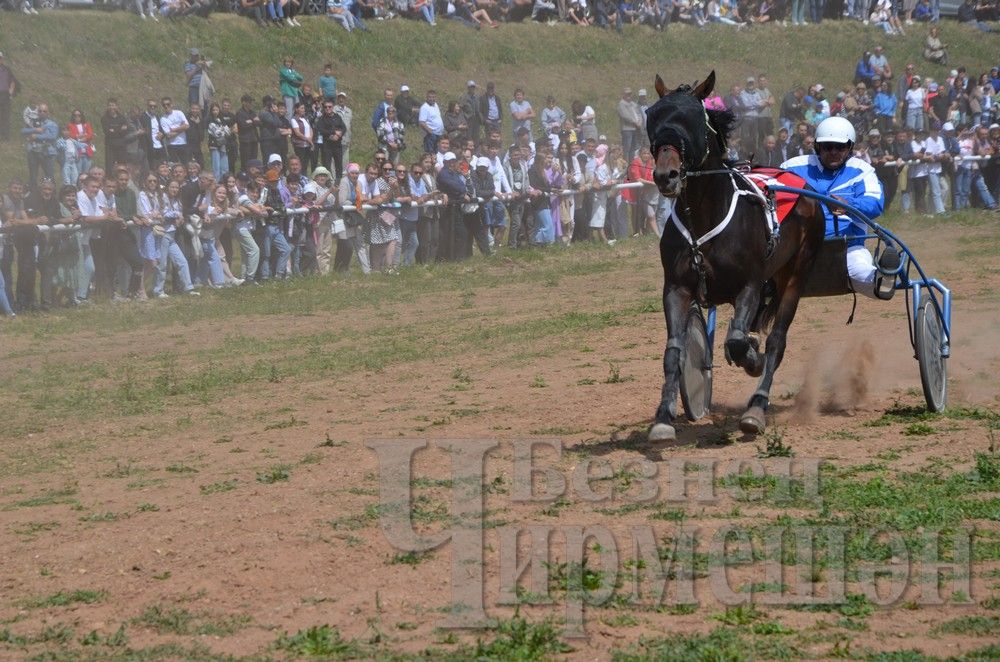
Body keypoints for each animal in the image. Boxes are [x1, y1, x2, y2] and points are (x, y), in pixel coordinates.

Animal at [644, 72, 824, 440]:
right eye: (653, 117)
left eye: (691, 120)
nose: (666, 175)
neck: (704, 216)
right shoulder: (676, 288)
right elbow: (674, 350)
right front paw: (664, 416)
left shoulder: (750, 285)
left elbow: (740, 342)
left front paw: (752, 358)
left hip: (797, 274)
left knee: (777, 341)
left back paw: (756, 406)